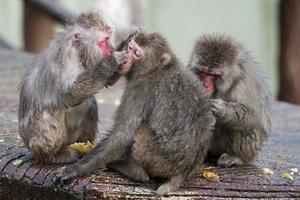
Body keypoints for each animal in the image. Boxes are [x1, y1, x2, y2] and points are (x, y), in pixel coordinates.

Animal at [17, 11, 127, 164]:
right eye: (104, 41)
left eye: (108, 39)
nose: (110, 50)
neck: (78, 53)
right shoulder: (63, 60)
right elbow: (70, 94)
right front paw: (112, 61)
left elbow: (106, 82)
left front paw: (126, 44)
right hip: (36, 141)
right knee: (51, 113)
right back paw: (54, 155)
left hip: (71, 139)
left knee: (90, 105)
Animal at [53, 31, 213, 195]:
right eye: (129, 48)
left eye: (136, 53)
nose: (125, 59)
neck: (157, 69)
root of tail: (181, 172)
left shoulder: (139, 89)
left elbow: (122, 136)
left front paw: (73, 170)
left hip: (158, 159)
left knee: (140, 132)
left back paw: (135, 171)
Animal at [188, 34, 272, 167]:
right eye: (203, 72)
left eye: (214, 75)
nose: (205, 85)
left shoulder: (244, 83)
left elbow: (255, 116)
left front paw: (221, 108)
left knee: (242, 126)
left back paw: (237, 157)